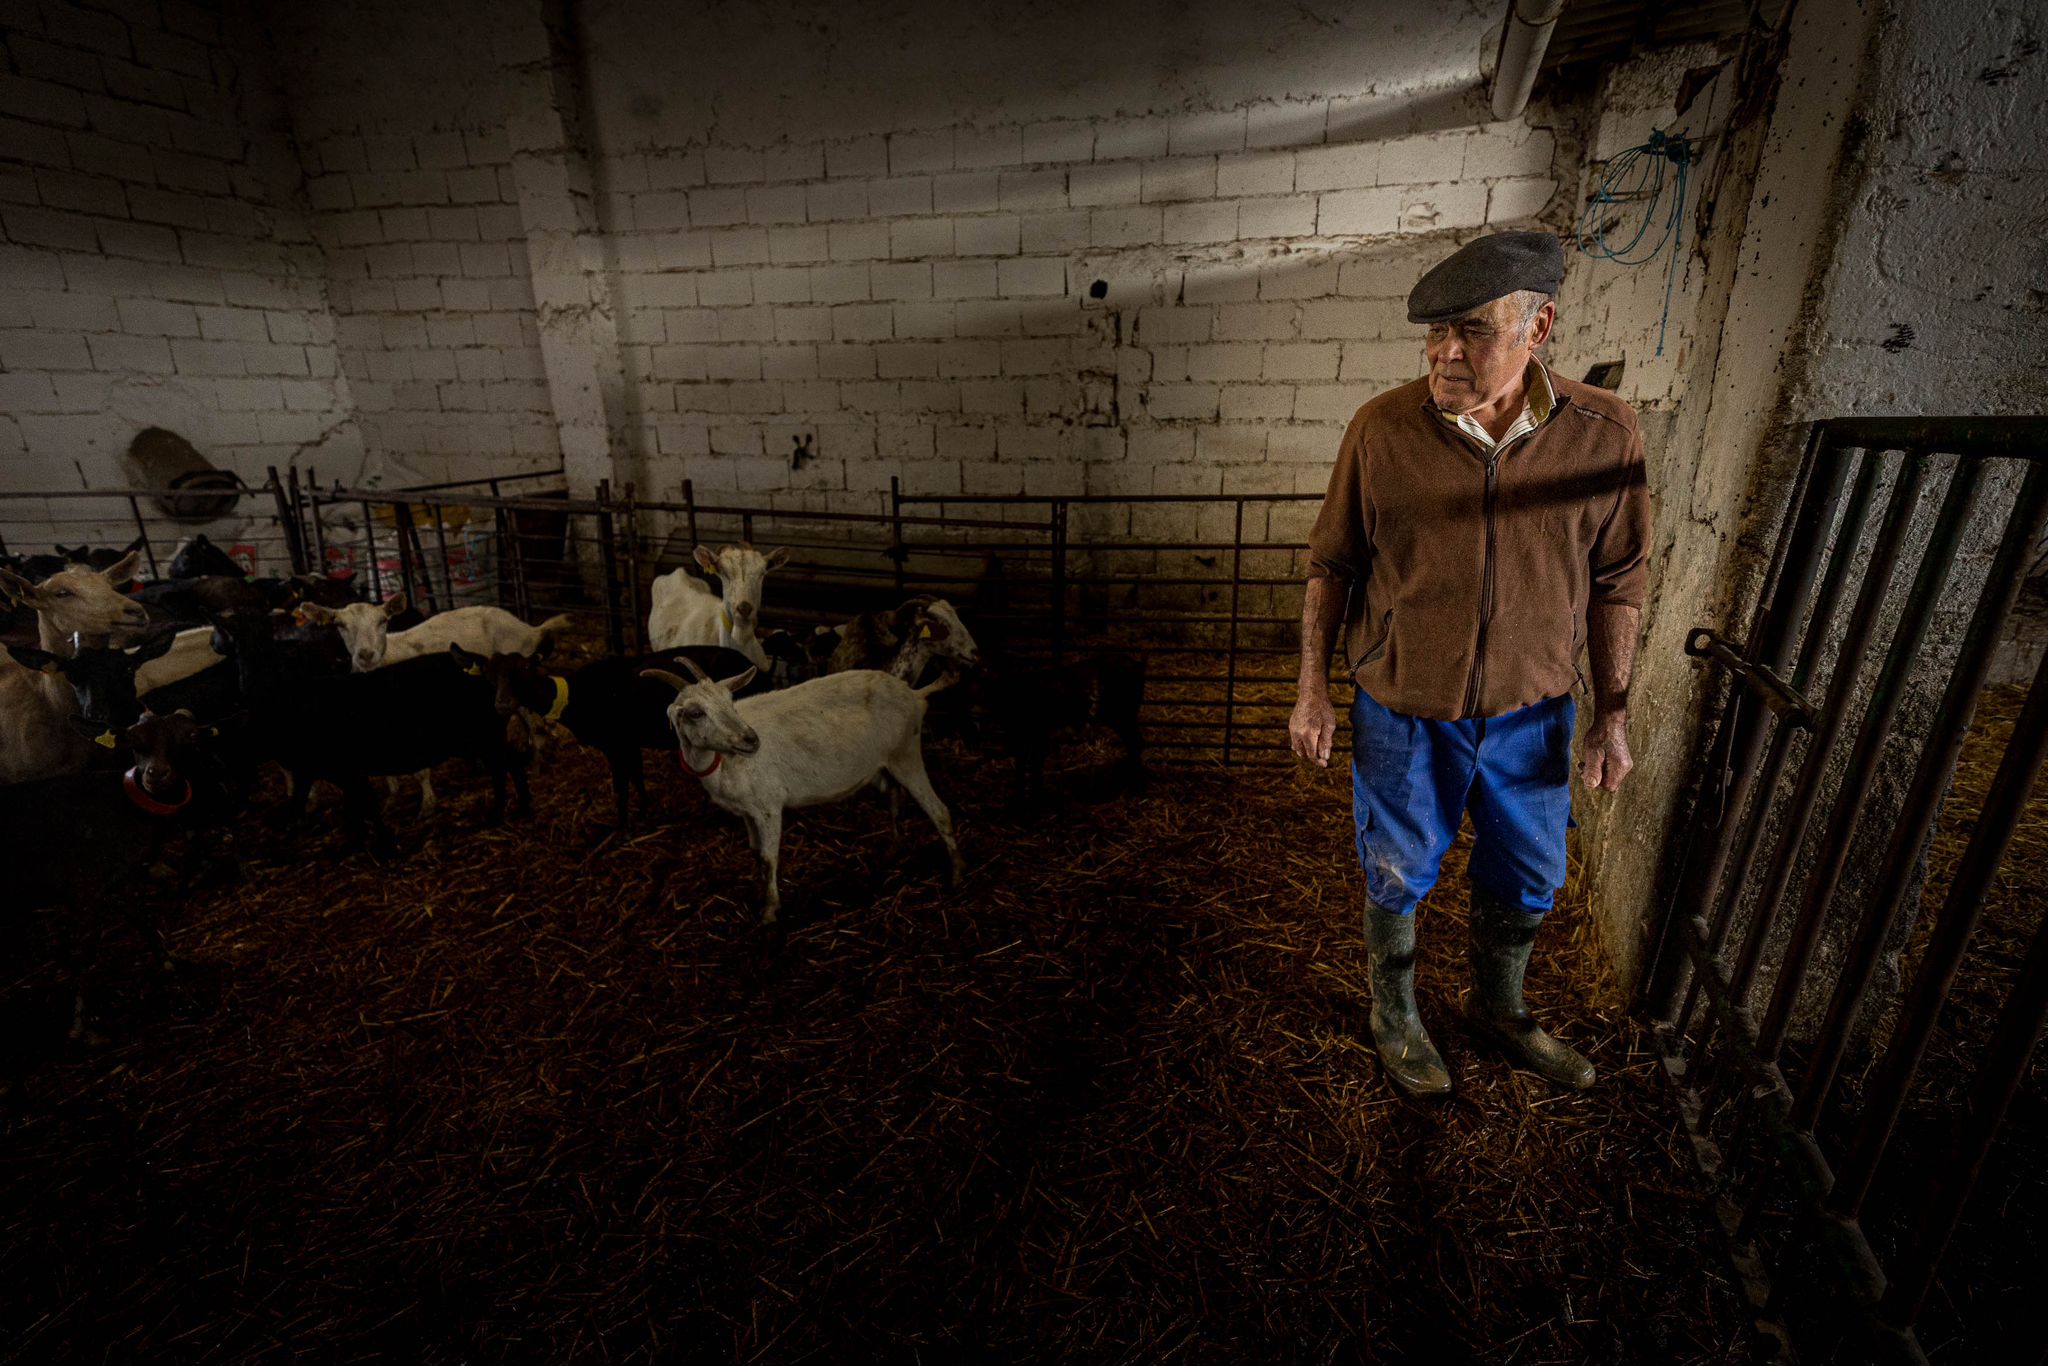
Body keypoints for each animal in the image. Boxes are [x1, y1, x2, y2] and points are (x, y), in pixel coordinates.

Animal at [647, 659, 966, 925]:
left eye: (730, 701)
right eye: (695, 713)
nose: (751, 739)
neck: (725, 763)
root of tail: (915, 694)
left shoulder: (768, 806)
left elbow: (768, 858)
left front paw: (769, 912)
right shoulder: (747, 811)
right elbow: (755, 854)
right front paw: (759, 894)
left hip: (906, 753)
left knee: (940, 811)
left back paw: (956, 876)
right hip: (884, 764)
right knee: (894, 796)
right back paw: (896, 848)